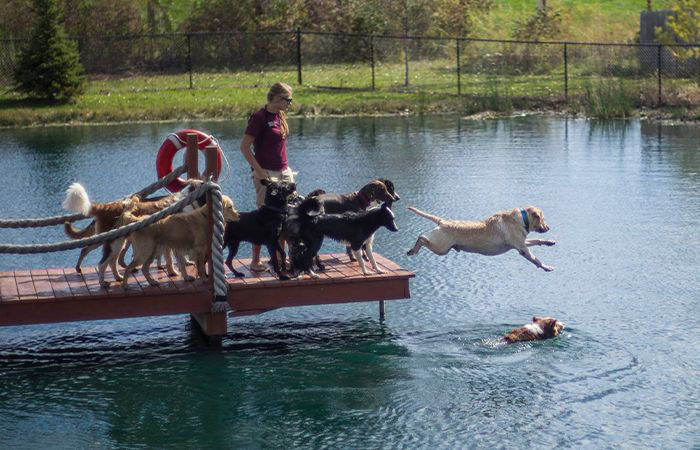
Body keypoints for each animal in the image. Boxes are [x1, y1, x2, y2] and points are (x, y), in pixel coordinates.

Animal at [408, 206, 556, 272]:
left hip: (441, 247)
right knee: (422, 237)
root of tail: (442, 222)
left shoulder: (521, 243)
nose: (548, 227)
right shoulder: (522, 249)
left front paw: (549, 242)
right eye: (542, 218)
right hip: (441, 248)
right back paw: (412, 250)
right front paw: (546, 267)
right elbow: (536, 259)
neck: (522, 218)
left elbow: (537, 240)